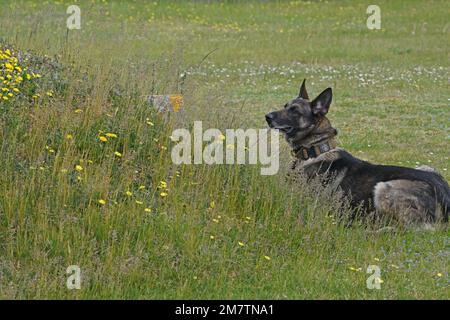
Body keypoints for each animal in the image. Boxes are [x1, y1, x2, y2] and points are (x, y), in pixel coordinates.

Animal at [266, 80, 448, 225]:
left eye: (295, 111)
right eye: (285, 106)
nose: (267, 116)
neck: (315, 150)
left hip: (383, 188)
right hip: (427, 167)